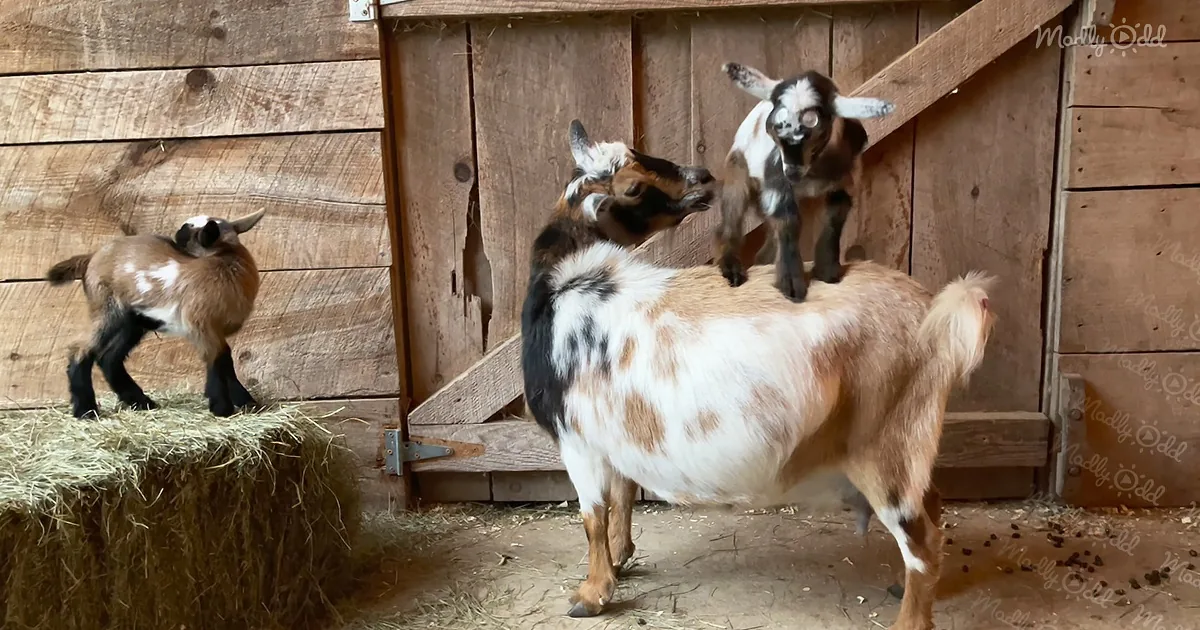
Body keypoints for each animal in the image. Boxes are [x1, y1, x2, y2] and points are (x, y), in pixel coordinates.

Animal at [45, 209, 267, 419]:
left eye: (188, 231)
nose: (176, 231)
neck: (226, 261)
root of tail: (92, 257)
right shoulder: (201, 325)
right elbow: (219, 359)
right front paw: (222, 407)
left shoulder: (214, 330)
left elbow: (226, 362)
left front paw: (246, 402)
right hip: (108, 310)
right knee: (80, 350)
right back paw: (86, 410)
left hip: (135, 320)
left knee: (109, 358)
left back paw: (141, 402)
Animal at [521, 120, 996, 630]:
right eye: (633, 185)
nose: (701, 178)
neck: (565, 286)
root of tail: (933, 310)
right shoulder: (612, 436)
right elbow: (623, 498)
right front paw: (621, 558)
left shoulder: (577, 441)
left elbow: (592, 515)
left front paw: (591, 595)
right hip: (909, 440)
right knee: (932, 505)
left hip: (885, 442)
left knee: (921, 539)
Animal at [715, 62, 894, 303]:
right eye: (772, 131)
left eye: (817, 132)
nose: (792, 171)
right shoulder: (777, 187)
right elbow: (788, 223)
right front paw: (792, 287)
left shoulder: (844, 184)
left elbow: (834, 221)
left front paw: (828, 272)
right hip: (737, 169)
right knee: (732, 217)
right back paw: (732, 269)